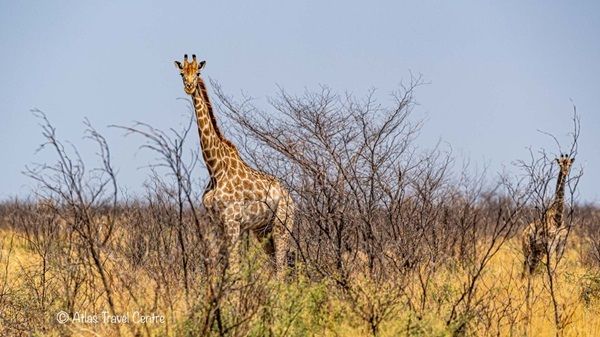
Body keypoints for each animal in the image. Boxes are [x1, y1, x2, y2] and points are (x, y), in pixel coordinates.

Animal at [173, 53, 296, 272]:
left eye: (198, 72)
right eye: (181, 73)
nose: (189, 86)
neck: (215, 168)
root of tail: (292, 200)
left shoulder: (232, 221)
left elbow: (234, 268)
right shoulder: (213, 223)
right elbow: (213, 265)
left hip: (282, 226)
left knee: (281, 267)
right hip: (262, 230)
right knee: (275, 265)